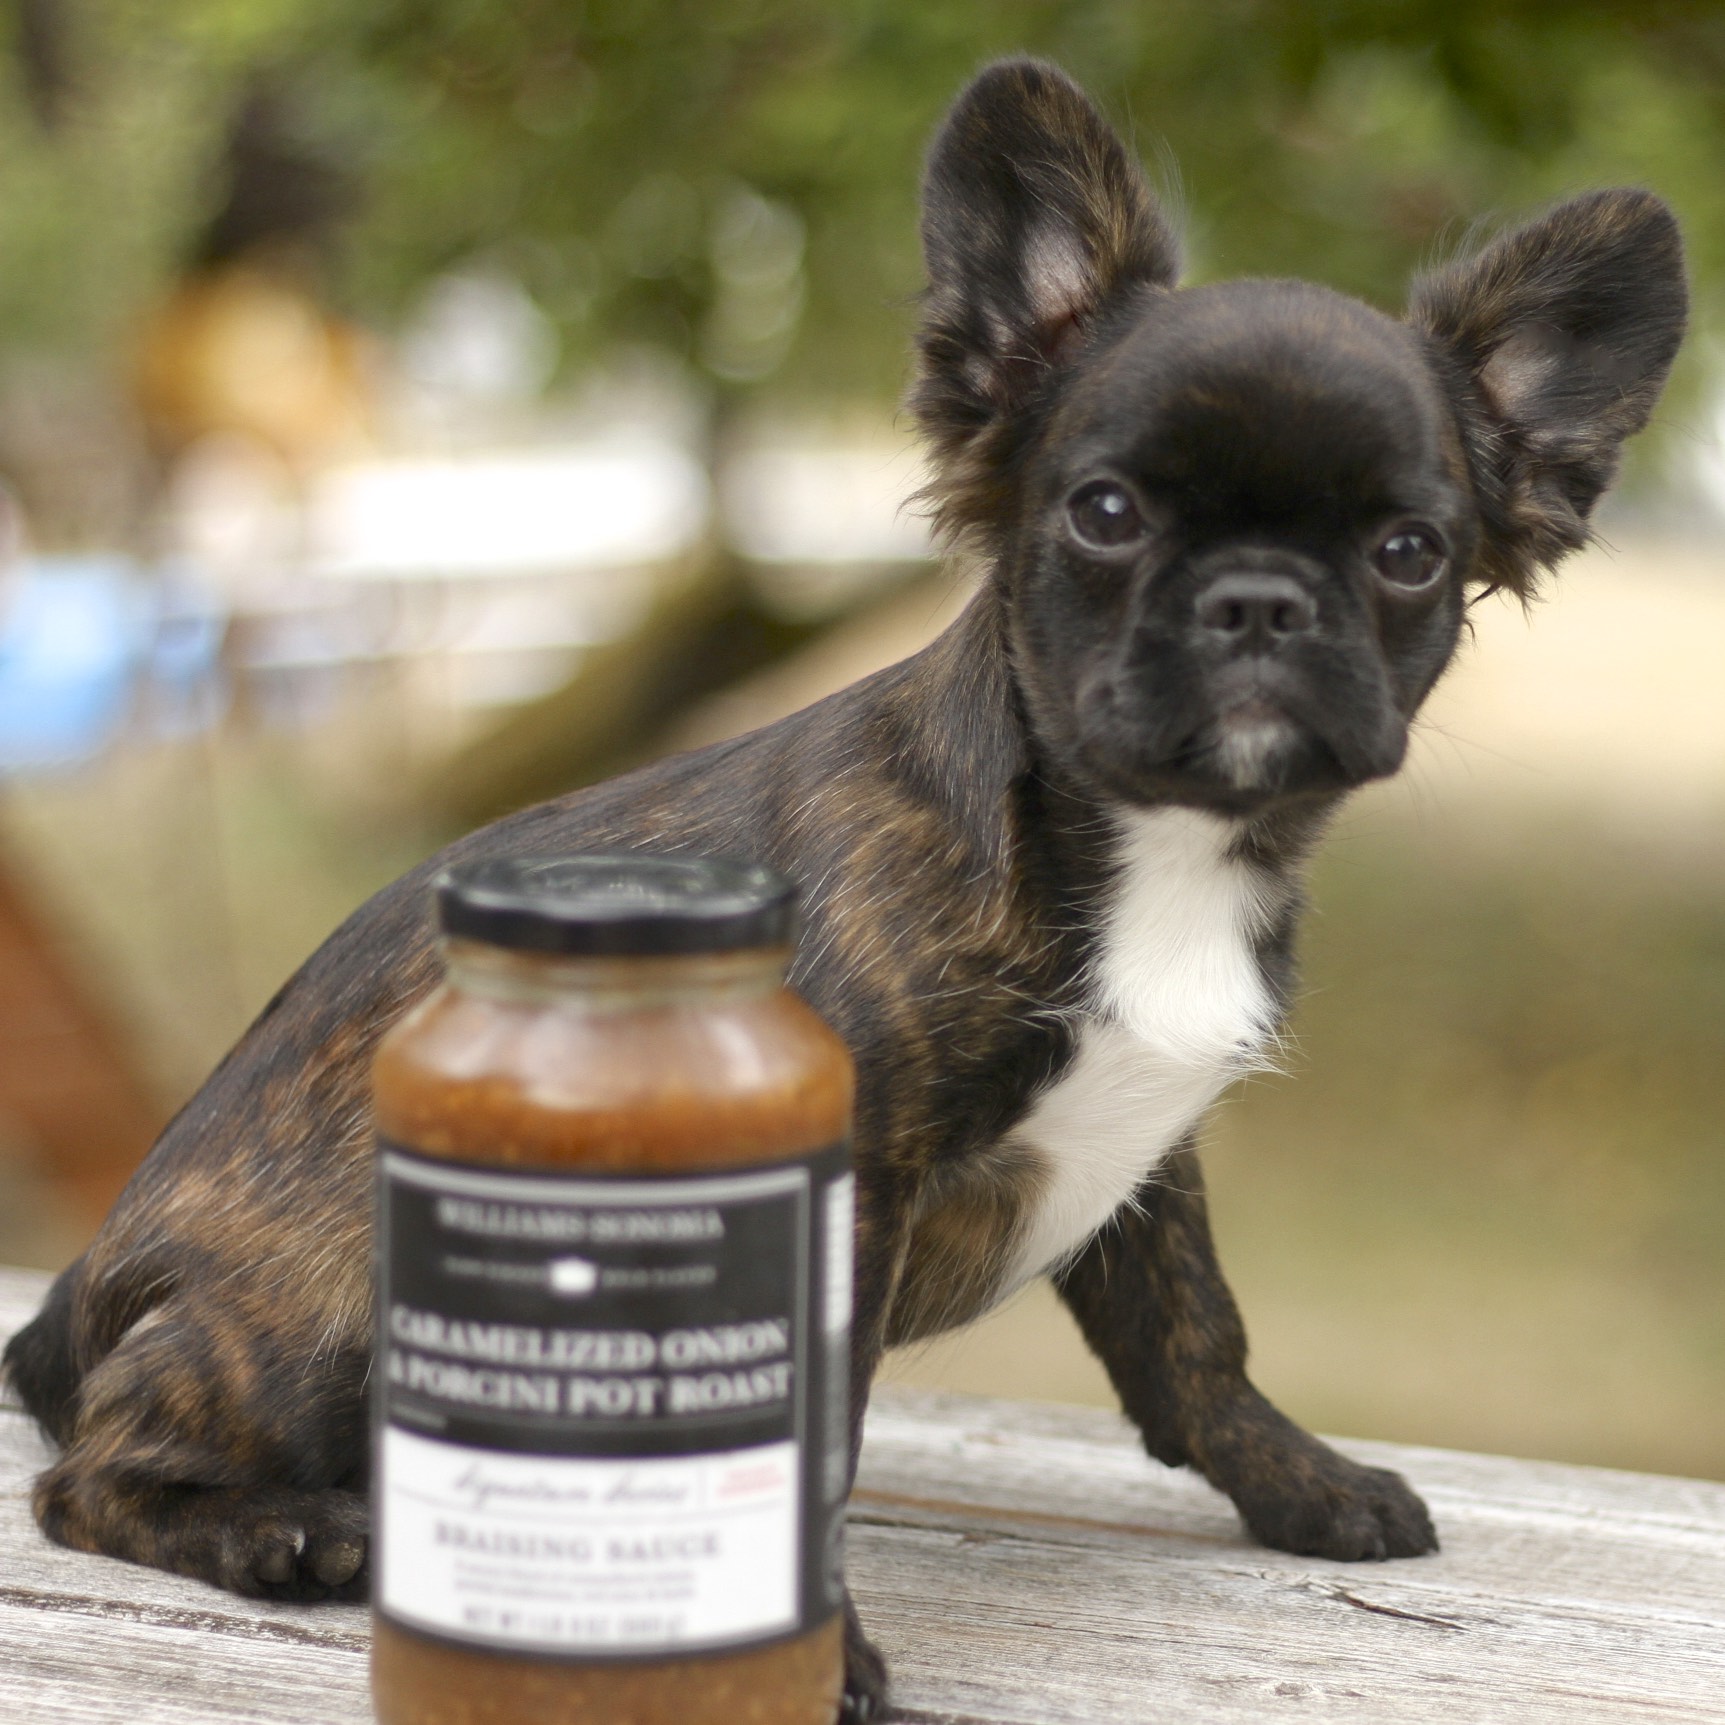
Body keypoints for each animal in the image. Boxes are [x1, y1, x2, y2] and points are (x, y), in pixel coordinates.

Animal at [3, 57, 1683, 1725]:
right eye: (1106, 514)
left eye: (1409, 550)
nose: (1258, 599)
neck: (1145, 843)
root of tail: (72, 1300)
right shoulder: (846, 1187)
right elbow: (825, 1440)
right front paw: (825, 1658)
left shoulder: (1149, 1156)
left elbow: (1195, 1334)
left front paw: (1302, 1486)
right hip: (329, 1290)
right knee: (90, 1477)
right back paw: (281, 1528)